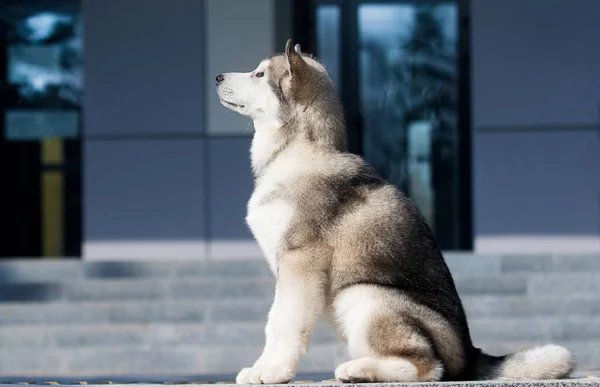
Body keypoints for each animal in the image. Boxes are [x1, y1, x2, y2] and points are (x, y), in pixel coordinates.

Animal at [217, 39, 576, 384]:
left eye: (260, 74)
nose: (218, 77)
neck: (296, 153)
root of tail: (470, 355)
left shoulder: (299, 261)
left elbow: (281, 323)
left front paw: (270, 371)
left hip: (363, 296)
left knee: (427, 367)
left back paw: (360, 371)